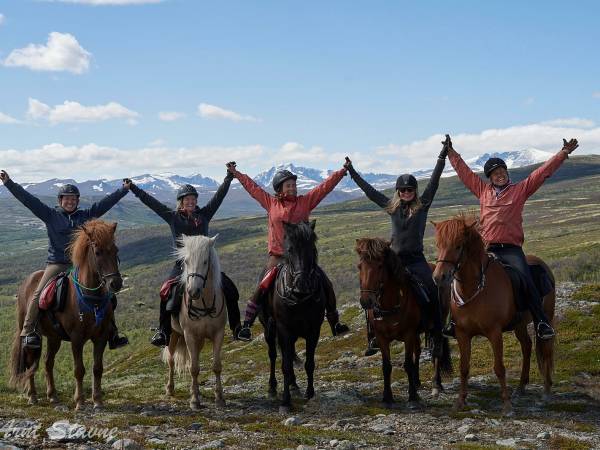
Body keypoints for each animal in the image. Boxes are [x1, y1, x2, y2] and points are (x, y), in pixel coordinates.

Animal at [9, 220, 122, 410]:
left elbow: (97, 368)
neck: (91, 299)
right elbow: (79, 370)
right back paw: (32, 396)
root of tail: (28, 280)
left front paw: (98, 401)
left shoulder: (101, 337)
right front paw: (80, 402)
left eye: (115, 250)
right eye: (97, 252)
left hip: (54, 337)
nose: (116, 283)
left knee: (47, 363)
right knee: (31, 362)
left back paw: (52, 396)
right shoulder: (76, 338)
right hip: (30, 333)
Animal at [163, 234, 226, 410]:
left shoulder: (218, 334)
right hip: (173, 335)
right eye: (186, 261)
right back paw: (170, 389)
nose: (193, 291)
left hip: (199, 340)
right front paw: (194, 400)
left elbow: (216, 366)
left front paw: (219, 397)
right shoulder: (189, 335)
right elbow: (193, 368)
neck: (204, 303)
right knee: (171, 360)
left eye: (205, 261)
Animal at [258, 220, 324, 414]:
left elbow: (309, 363)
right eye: (290, 249)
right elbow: (286, 366)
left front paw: (310, 393)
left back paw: (294, 385)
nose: (301, 284)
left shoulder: (314, 331)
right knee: (273, 355)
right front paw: (285, 402)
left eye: (312, 248)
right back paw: (272, 387)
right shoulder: (284, 331)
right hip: (270, 330)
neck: (299, 298)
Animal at [356, 239, 450, 408]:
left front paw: (412, 396)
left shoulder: (408, 335)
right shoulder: (382, 337)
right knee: (417, 352)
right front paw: (387, 397)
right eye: (360, 266)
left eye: (380, 266)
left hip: (437, 324)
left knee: (436, 352)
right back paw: (417, 381)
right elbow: (387, 366)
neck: (391, 304)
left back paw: (436, 384)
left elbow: (407, 364)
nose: (366, 301)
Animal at [434, 213, 556, 414]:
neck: (474, 288)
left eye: (458, 245)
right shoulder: (462, 334)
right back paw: (521, 387)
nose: (439, 277)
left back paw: (546, 391)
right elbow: (464, 367)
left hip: (546, 318)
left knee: (545, 350)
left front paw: (506, 405)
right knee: (527, 346)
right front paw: (460, 401)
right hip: (519, 324)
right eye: (438, 245)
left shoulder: (494, 332)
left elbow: (499, 367)